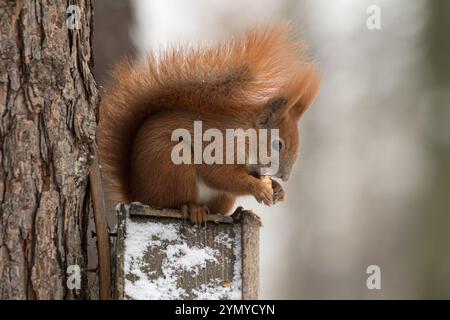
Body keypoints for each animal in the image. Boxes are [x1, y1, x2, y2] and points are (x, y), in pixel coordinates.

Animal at [97, 24, 320, 222]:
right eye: (277, 144)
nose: (285, 176)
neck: (246, 134)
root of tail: (137, 194)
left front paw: (277, 189)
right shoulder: (219, 145)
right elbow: (218, 174)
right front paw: (258, 188)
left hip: (219, 196)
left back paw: (236, 212)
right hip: (172, 166)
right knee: (172, 202)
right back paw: (192, 208)